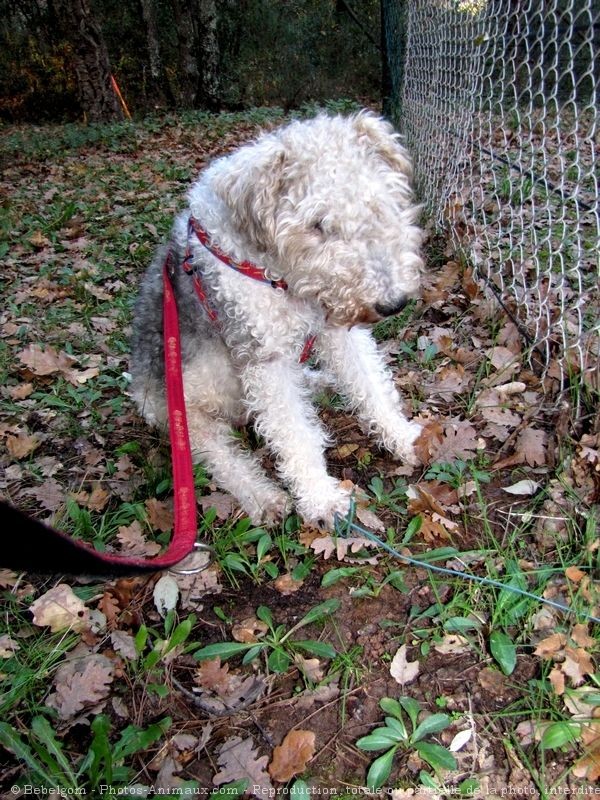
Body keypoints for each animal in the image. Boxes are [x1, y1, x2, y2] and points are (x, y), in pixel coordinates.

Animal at [130, 109, 422, 528]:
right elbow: (294, 433)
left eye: (378, 204)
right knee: (220, 455)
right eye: (317, 224)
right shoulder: (265, 357)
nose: (393, 303)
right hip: (183, 411)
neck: (274, 271)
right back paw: (264, 497)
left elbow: (370, 384)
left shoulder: (336, 328)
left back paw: (320, 382)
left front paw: (404, 436)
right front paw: (322, 499)